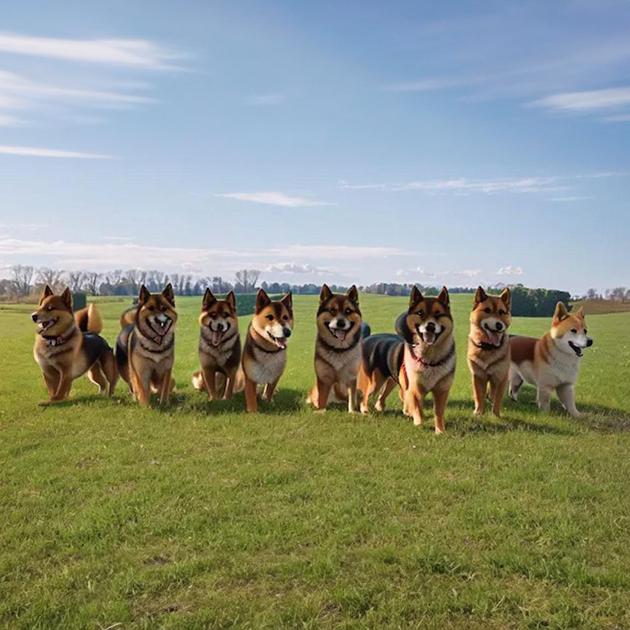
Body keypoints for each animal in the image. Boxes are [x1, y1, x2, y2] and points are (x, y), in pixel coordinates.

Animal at [308, 286, 368, 414]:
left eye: (348, 311)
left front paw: (353, 412)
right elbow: (322, 398)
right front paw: (321, 412)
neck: (339, 349)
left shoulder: (352, 377)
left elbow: (352, 398)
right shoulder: (324, 378)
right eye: (332, 310)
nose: (341, 323)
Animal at [358, 288, 456, 432]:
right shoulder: (415, 388)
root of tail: (365, 339)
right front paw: (417, 421)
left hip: (391, 379)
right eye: (420, 313)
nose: (430, 326)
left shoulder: (441, 391)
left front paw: (440, 431)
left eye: (438, 314)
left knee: (383, 395)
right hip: (375, 382)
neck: (431, 359)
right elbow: (416, 408)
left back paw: (381, 407)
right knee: (365, 396)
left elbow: (438, 413)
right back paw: (365, 411)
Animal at [470, 288, 512, 418]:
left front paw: (496, 415)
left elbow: (497, 398)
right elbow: (479, 396)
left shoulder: (500, 377)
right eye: (487, 310)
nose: (499, 325)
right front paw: (478, 411)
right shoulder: (478, 376)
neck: (488, 348)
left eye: (502, 312)